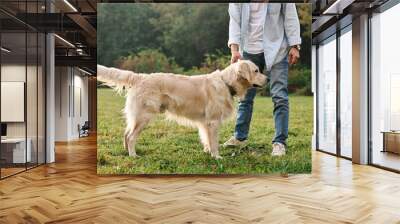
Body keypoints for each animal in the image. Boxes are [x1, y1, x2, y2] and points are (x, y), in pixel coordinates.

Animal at [96, 60, 266, 159]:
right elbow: (214, 142)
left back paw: (126, 151)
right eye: (256, 70)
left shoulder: (205, 123)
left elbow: (206, 139)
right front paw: (216, 157)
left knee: (126, 134)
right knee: (131, 136)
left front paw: (207, 152)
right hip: (144, 116)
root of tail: (140, 77)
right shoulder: (213, 121)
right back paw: (133, 155)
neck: (226, 83)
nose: (268, 78)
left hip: (137, 117)